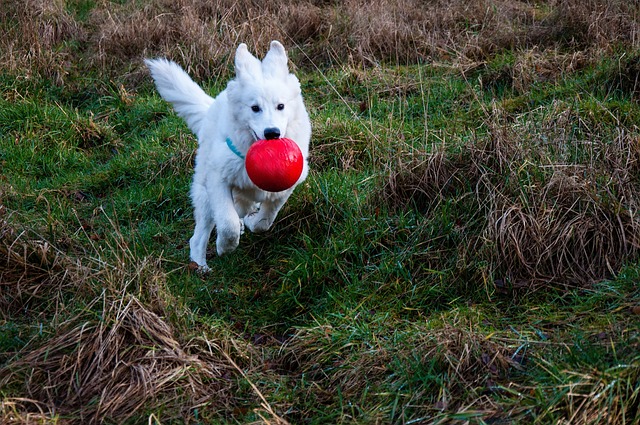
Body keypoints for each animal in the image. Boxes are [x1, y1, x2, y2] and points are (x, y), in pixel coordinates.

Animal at [148, 41, 312, 270]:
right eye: (255, 108)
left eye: (281, 106)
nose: (272, 133)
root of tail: (211, 107)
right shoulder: (218, 180)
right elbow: (227, 223)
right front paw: (224, 247)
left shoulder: (285, 187)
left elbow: (265, 221)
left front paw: (253, 222)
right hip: (204, 193)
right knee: (198, 236)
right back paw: (200, 267)